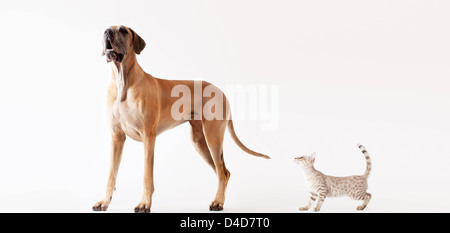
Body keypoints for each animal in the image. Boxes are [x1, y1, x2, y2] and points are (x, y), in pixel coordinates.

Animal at [89, 26, 268, 213]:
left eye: (123, 30)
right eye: (107, 29)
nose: (108, 31)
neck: (123, 81)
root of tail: (221, 91)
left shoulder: (148, 138)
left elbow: (147, 175)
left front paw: (144, 203)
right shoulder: (116, 137)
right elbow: (111, 174)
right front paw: (104, 202)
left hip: (213, 138)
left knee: (222, 172)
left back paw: (218, 202)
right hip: (199, 142)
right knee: (222, 173)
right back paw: (219, 199)